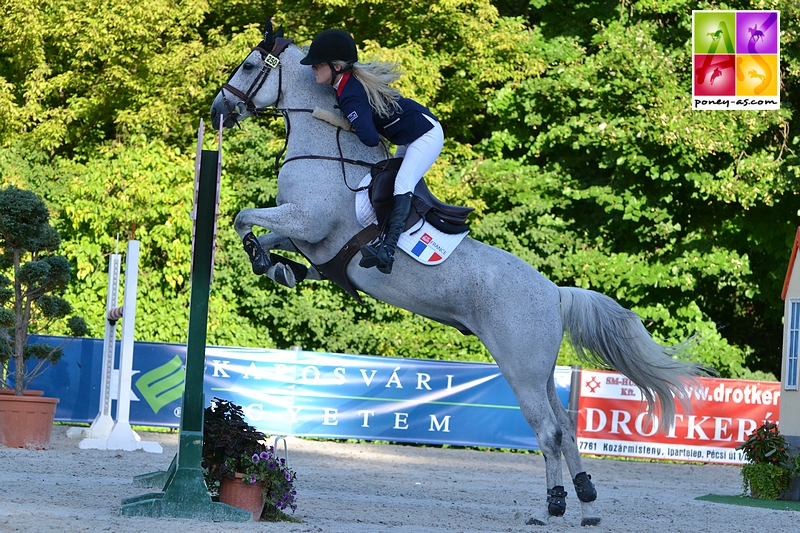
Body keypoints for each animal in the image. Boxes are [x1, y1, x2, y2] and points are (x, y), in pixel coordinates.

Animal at [209, 22, 708, 524]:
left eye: (248, 67)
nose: (217, 110)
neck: (326, 154)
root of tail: (553, 292)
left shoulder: (307, 223)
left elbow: (243, 218)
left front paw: (264, 261)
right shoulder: (307, 239)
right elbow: (268, 238)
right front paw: (279, 269)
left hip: (520, 367)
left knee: (548, 431)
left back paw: (553, 507)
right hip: (542, 369)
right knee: (566, 426)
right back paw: (586, 503)